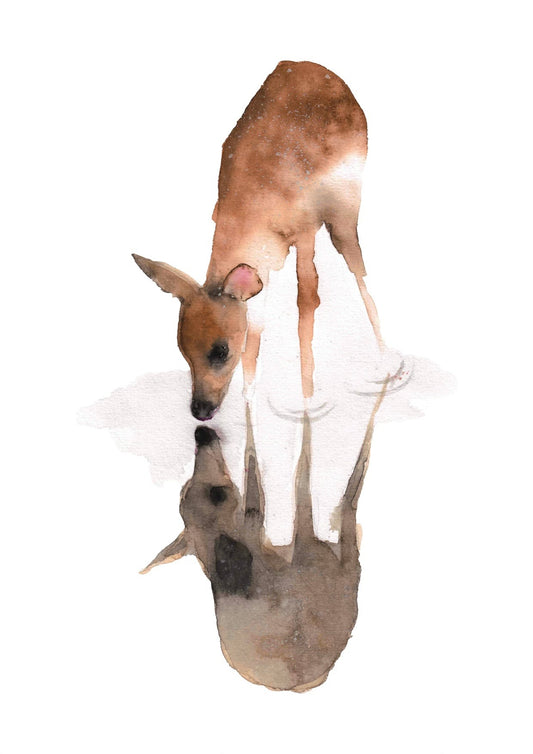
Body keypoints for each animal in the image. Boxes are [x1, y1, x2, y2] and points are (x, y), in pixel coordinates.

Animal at [133, 60, 384, 421]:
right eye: (182, 349)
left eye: (220, 351)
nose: (200, 410)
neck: (254, 203)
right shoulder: (260, 261)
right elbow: (257, 326)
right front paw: (250, 396)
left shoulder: (305, 230)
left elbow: (308, 301)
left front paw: (307, 402)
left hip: (344, 205)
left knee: (358, 266)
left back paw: (388, 366)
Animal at [139, 389, 384, 692]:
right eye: (218, 494)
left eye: (185, 489)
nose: (201, 433)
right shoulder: (264, 519)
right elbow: (257, 461)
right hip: (330, 548)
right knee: (335, 486)